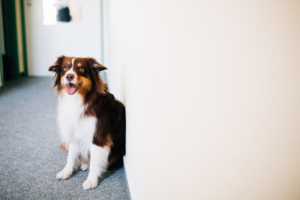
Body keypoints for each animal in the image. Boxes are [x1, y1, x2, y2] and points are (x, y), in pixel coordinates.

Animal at [49, 55, 125, 190]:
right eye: (65, 68)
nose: (69, 76)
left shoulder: (98, 136)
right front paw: (66, 172)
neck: (79, 99)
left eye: (81, 69)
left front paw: (91, 180)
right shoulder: (74, 133)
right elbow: (71, 157)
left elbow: (95, 161)